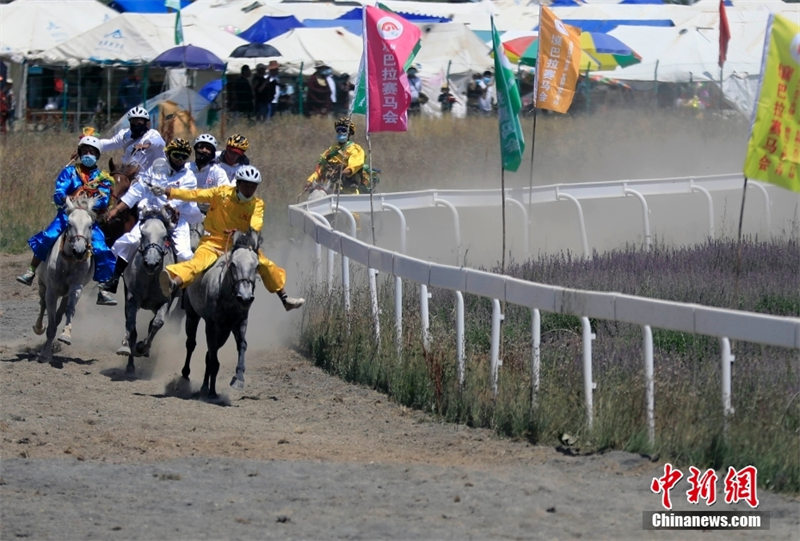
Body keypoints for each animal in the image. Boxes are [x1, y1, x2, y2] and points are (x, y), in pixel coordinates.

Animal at [33, 196, 98, 364]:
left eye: (90, 225)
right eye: (69, 224)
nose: (79, 251)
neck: (68, 262)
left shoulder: (76, 288)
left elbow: (69, 310)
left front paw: (66, 335)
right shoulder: (52, 291)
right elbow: (50, 319)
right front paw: (44, 355)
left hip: (66, 293)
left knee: (60, 313)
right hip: (42, 284)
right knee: (42, 304)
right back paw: (38, 327)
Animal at [117, 207, 177, 376]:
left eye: (165, 236)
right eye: (143, 234)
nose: (151, 263)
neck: (151, 279)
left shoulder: (166, 301)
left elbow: (157, 323)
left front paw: (143, 347)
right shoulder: (132, 298)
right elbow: (131, 327)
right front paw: (127, 349)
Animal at [181, 228, 260, 396]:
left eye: (256, 265)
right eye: (234, 264)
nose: (245, 297)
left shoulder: (239, 322)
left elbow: (242, 345)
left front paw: (238, 379)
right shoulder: (211, 324)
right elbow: (212, 357)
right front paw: (211, 391)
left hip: (224, 331)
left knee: (209, 353)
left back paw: (205, 386)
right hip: (192, 315)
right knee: (191, 343)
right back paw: (186, 375)